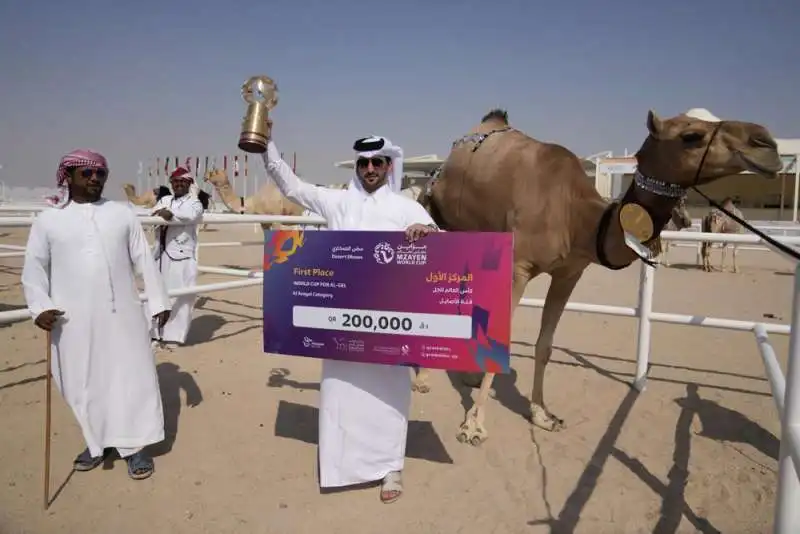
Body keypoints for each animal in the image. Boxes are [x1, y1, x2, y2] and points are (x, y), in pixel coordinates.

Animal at [412, 107, 780, 446]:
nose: (767, 143)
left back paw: (468, 375)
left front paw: (542, 414)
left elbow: (545, 345)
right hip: (441, 222)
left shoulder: (570, 273)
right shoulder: (520, 266)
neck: (576, 214)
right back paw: (424, 379)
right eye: (692, 136)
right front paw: (473, 425)